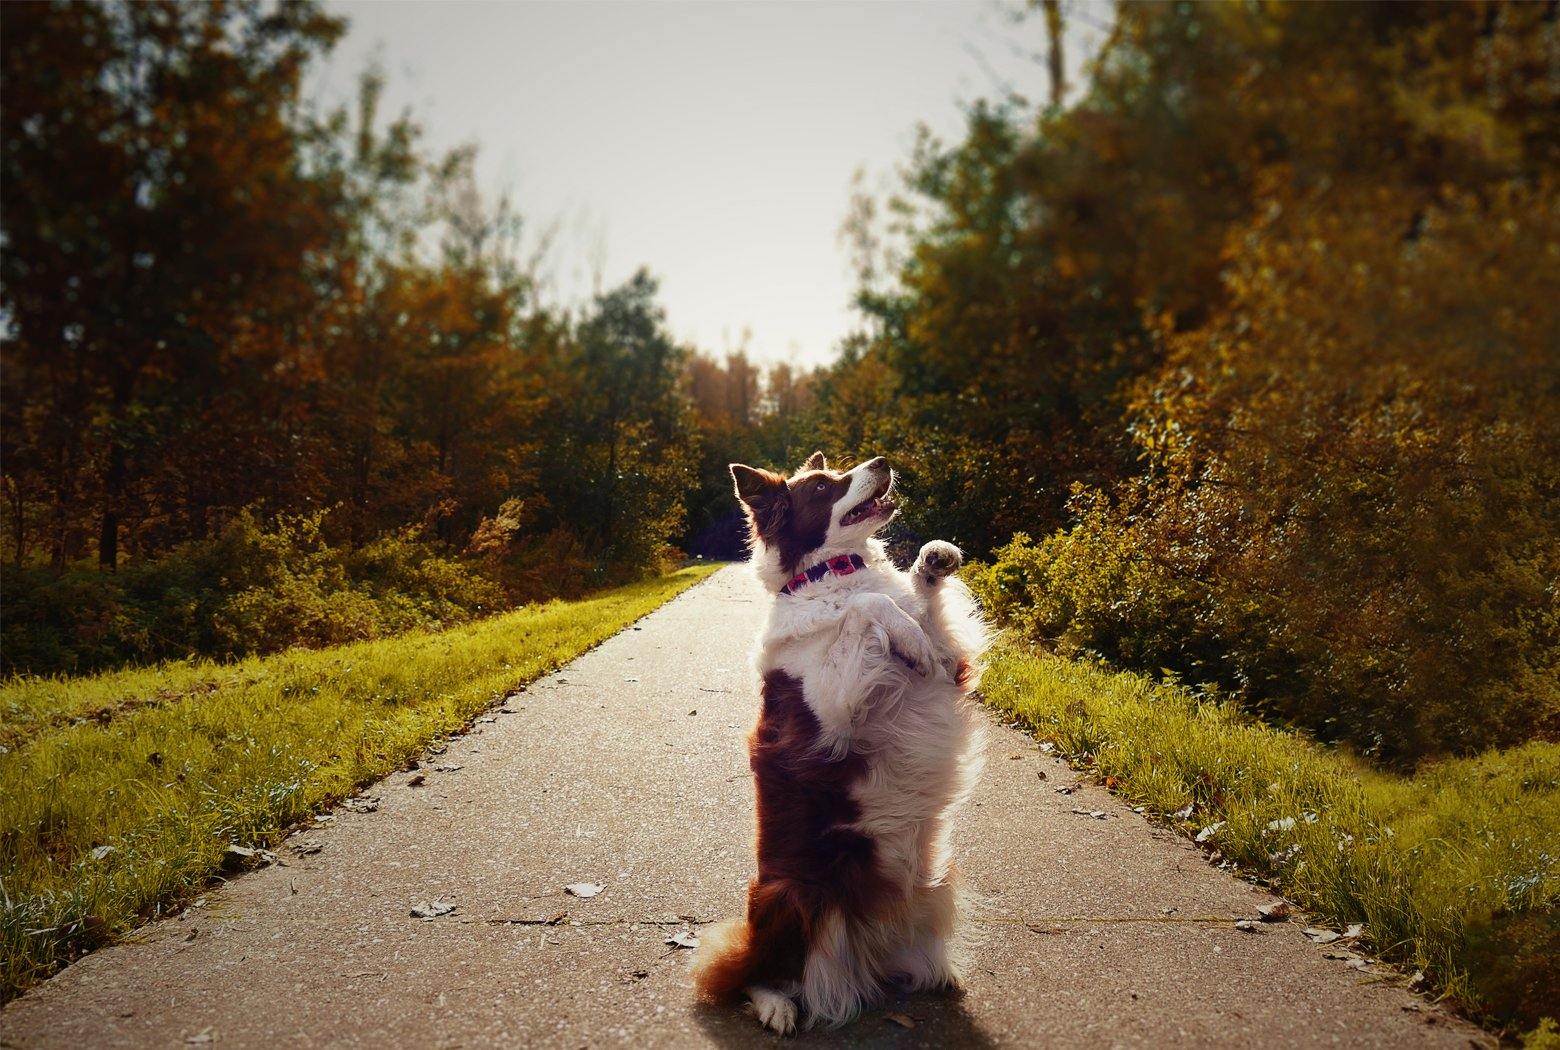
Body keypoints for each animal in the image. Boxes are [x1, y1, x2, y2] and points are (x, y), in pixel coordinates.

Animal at [689, 449, 979, 1029]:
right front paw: (904, 632)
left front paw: (934, 560)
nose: (883, 459)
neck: (832, 572)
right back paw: (777, 1005)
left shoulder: (949, 665)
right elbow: (865, 609)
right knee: (750, 973)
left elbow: (920, 615)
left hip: (934, 885)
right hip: (788, 896)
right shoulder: (831, 711)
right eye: (823, 487)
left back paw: (933, 972)